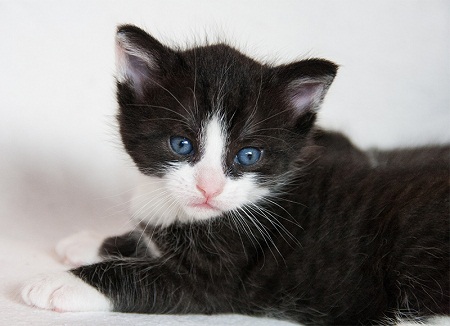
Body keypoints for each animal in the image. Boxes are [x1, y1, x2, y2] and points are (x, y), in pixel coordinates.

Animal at [22, 26, 450, 326]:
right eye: (181, 144)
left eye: (248, 156)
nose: (208, 188)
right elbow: (142, 238)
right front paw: (88, 241)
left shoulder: (218, 278)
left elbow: (145, 277)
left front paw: (57, 282)